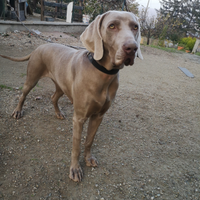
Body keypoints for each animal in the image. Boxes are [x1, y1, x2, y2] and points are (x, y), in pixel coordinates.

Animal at [0, 11, 143, 183]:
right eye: (112, 26)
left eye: (135, 27)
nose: (132, 48)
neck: (103, 74)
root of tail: (39, 47)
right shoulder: (79, 118)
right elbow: (76, 146)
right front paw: (75, 169)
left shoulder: (98, 116)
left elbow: (89, 140)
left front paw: (89, 159)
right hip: (32, 77)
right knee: (23, 94)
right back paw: (17, 112)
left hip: (61, 86)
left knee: (53, 97)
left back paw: (58, 113)